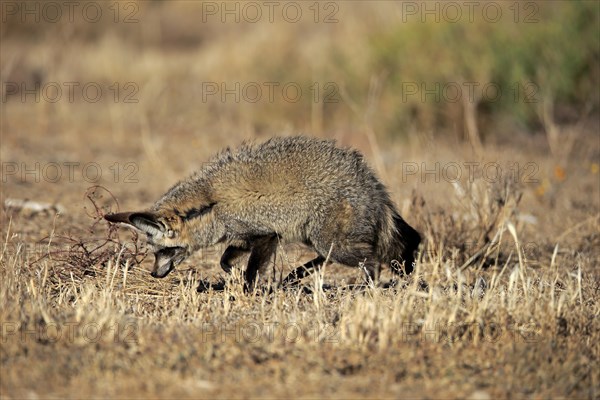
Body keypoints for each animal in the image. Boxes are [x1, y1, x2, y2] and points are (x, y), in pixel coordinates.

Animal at [105, 136, 420, 290]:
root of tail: (373, 185)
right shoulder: (245, 238)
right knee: (328, 257)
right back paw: (295, 276)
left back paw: (367, 288)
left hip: (332, 242)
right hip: (316, 238)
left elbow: (250, 271)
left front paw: (249, 291)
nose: (154, 274)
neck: (211, 202)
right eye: (155, 252)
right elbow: (225, 261)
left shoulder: (267, 236)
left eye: (164, 251)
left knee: (372, 261)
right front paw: (234, 277)